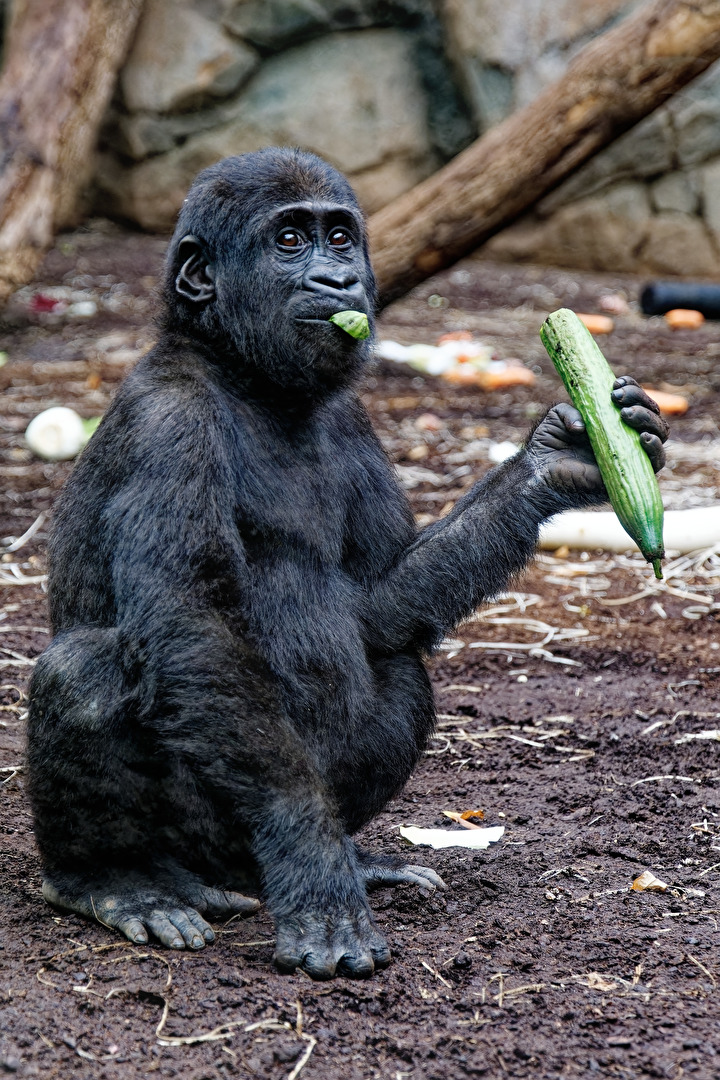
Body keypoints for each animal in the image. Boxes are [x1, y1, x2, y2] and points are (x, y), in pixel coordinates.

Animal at [27, 147, 668, 979]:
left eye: (338, 237)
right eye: (289, 240)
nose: (338, 280)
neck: (243, 374)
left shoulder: (354, 418)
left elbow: (377, 606)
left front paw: (560, 460)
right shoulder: (167, 425)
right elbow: (190, 626)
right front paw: (315, 871)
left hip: (247, 848)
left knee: (400, 667)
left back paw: (355, 859)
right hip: (200, 835)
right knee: (84, 672)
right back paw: (113, 880)